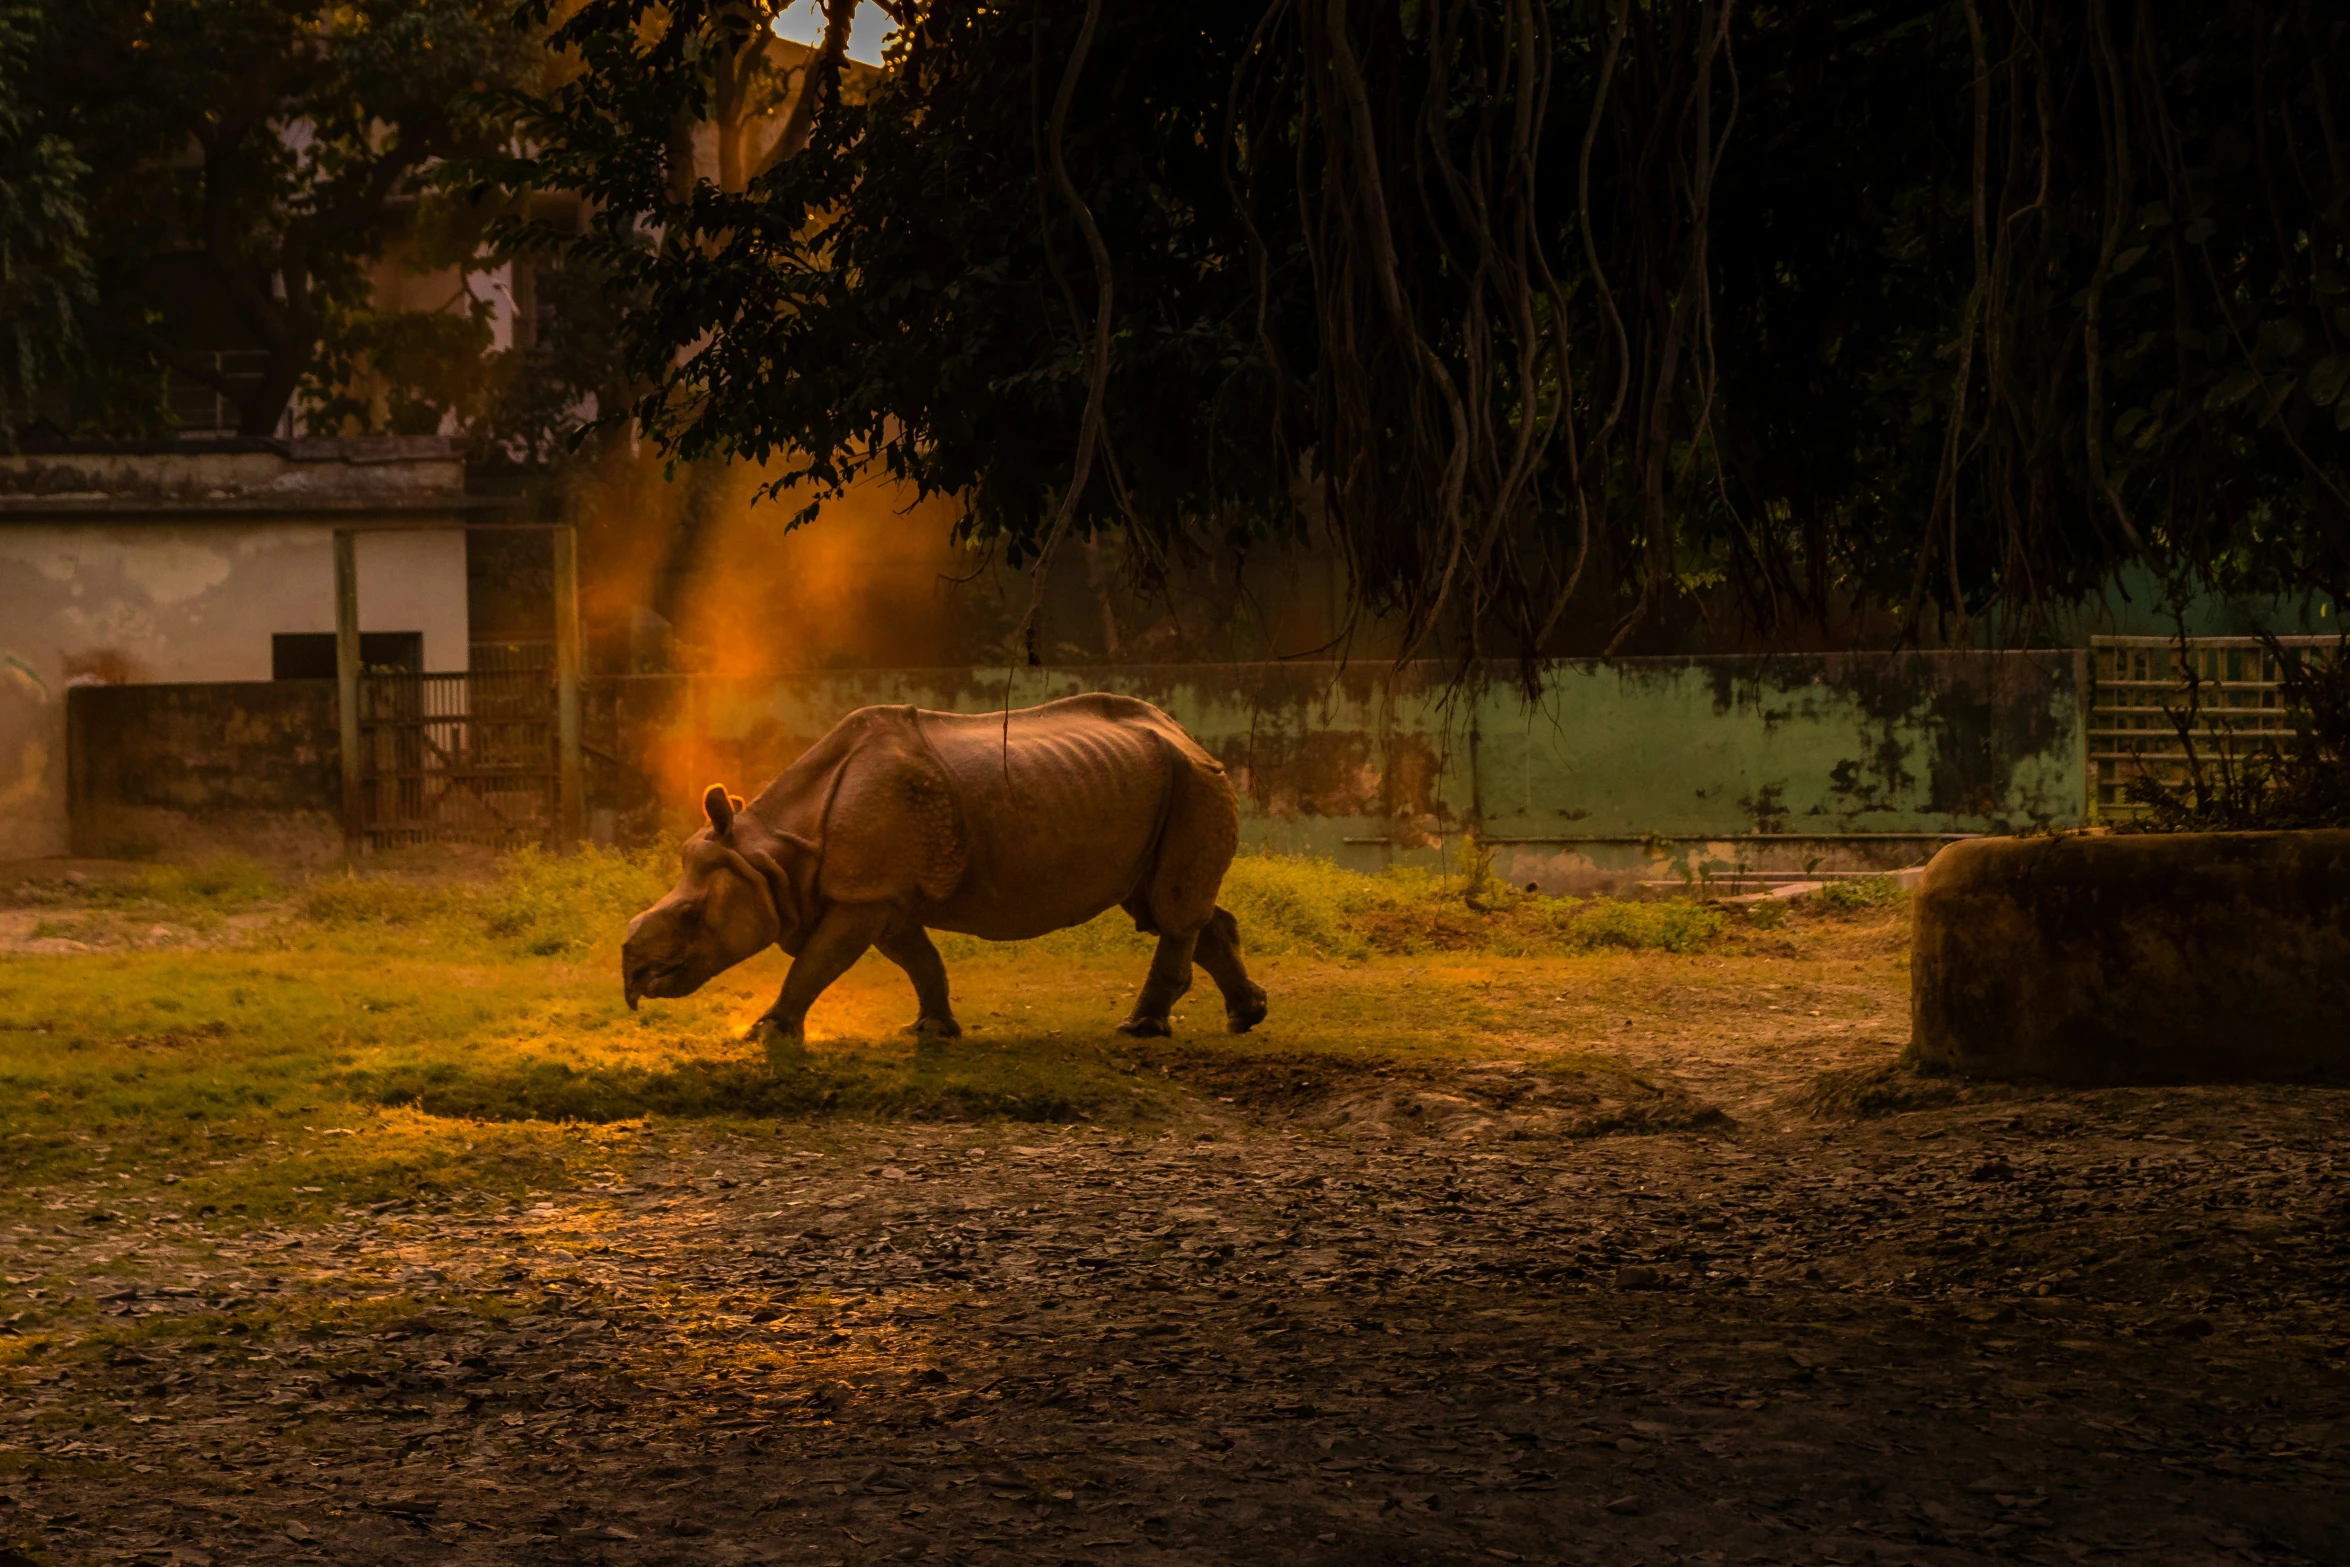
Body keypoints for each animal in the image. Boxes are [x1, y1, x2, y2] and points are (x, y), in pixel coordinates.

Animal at [615, 690, 1259, 1061]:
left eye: (691, 915)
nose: (632, 982)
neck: (772, 853)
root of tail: (1188, 735)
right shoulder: (884, 896)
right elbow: (918, 960)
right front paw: (931, 1031)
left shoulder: (867, 894)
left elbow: (816, 963)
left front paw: (764, 1036)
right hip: (1160, 783)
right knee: (1160, 904)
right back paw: (1245, 1017)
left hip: (1196, 781)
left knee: (1170, 908)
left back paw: (1139, 1030)